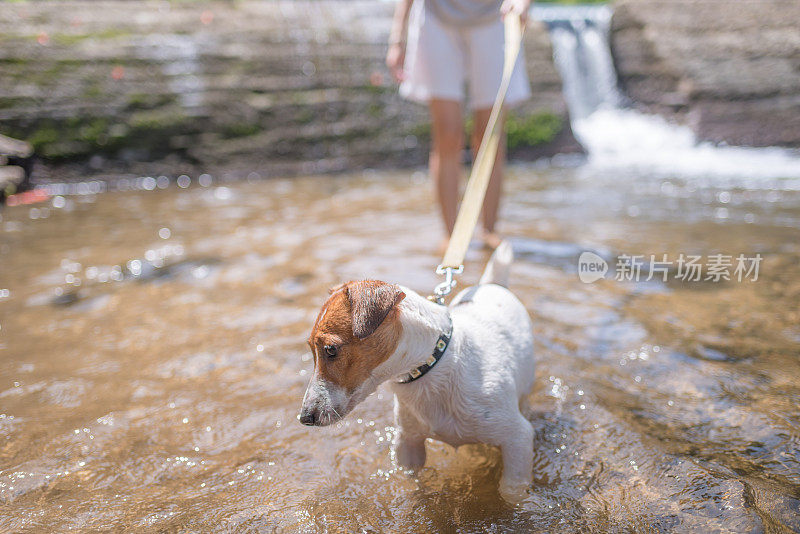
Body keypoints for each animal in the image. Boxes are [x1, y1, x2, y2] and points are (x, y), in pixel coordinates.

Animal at [300, 243, 536, 502]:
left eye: (330, 350)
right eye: (311, 349)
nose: (304, 418)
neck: (432, 367)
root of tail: (492, 285)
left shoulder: (518, 438)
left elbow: (512, 491)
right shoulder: (408, 443)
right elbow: (412, 481)